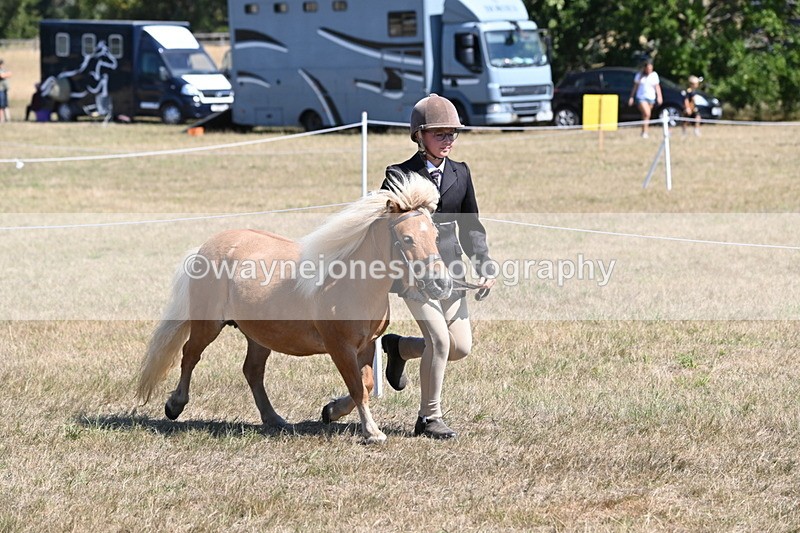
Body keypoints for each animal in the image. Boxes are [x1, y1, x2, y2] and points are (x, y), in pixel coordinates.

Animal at [136, 176, 451, 444]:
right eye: (407, 238)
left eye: (435, 235)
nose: (442, 283)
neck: (349, 283)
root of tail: (205, 248)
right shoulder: (340, 347)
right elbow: (357, 388)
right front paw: (372, 432)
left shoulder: (365, 347)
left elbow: (367, 385)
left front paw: (331, 411)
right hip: (208, 325)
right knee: (190, 355)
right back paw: (175, 405)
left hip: (259, 335)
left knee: (252, 371)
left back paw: (273, 418)